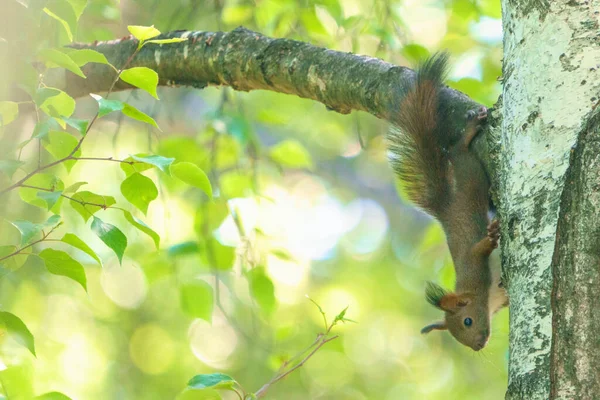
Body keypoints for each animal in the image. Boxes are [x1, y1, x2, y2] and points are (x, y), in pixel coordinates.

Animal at [386, 53, 508, 350]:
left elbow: (477, 250)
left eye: (467, 321)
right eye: (459, 336)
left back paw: (469, 132)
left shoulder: (473, 267)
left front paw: (491, 237)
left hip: (469, 173)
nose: (478, 346)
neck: (485, 297)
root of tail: (444, 208)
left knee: (456, 150)